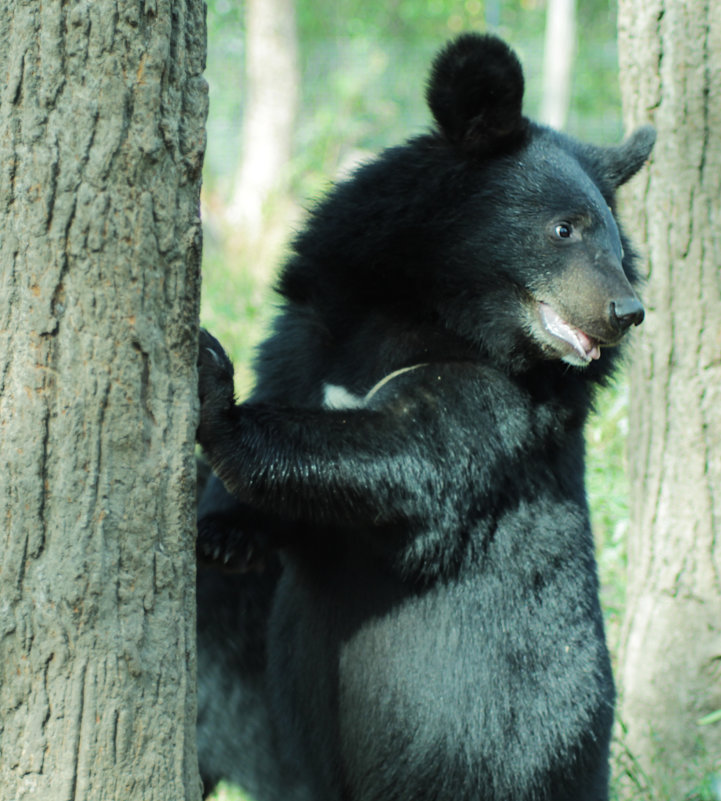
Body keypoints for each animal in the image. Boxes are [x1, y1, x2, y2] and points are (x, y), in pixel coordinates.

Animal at [194, 31, 656, 800]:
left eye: (617, 248)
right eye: (564, 228)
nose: (625, 312)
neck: (429, 313)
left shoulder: (500, 408)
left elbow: (404, 457)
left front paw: (213, 391)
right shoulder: (311, 332)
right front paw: (224, 534)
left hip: (490, 761)